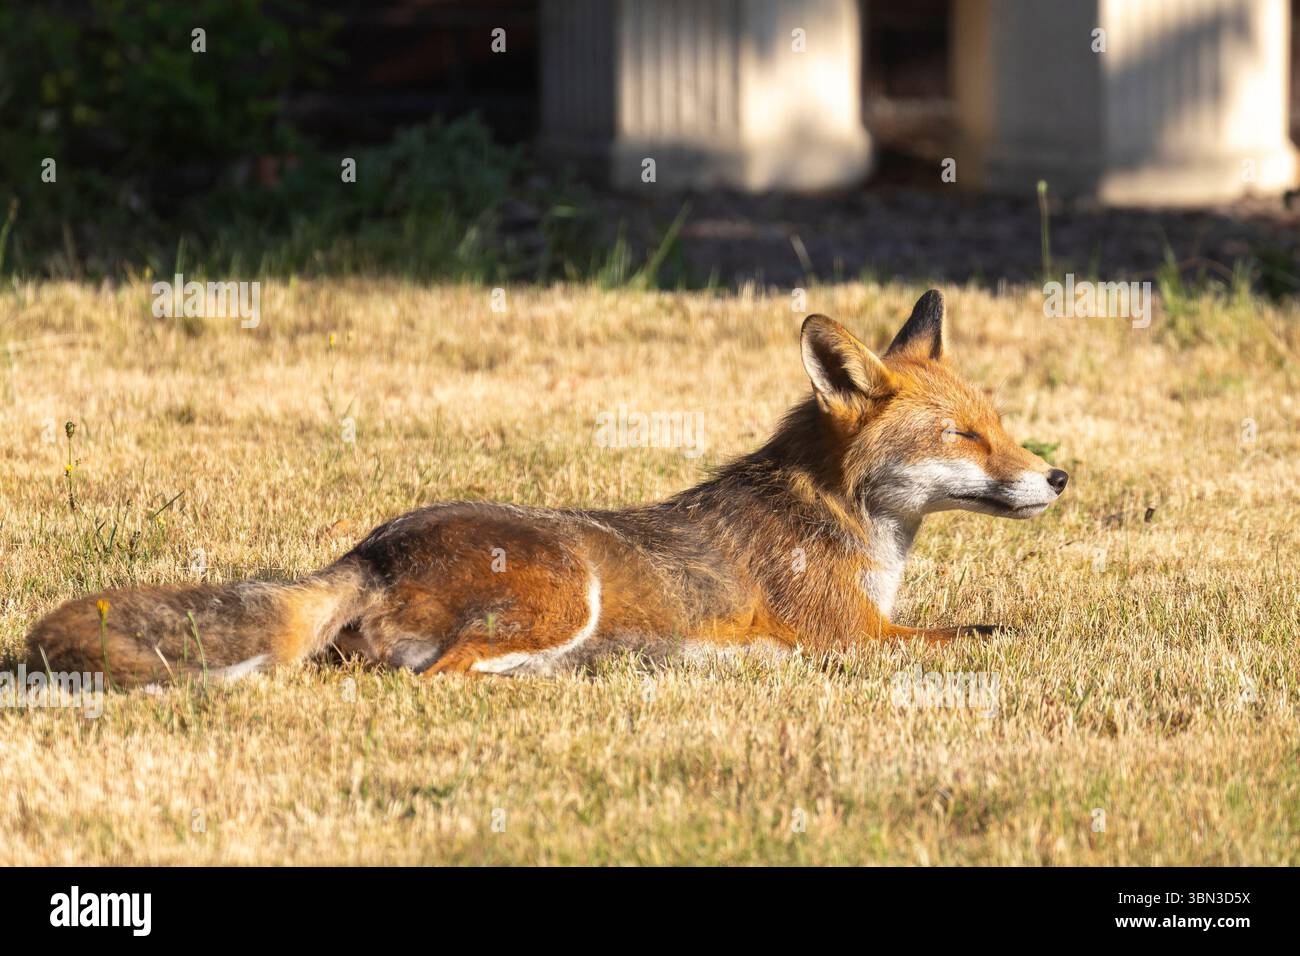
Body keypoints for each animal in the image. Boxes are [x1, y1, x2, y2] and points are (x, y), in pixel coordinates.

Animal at [27, 290, 1067, 686]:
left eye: (1000, 423)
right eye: (963, 436)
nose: (1057, 474)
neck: (847, 525)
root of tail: (372, 545)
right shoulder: (855, 639)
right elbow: (994, 633)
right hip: (568, 592)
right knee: (430, 673)